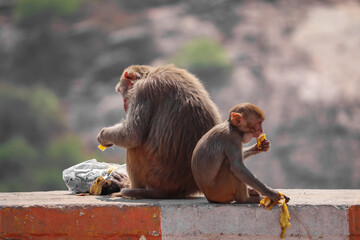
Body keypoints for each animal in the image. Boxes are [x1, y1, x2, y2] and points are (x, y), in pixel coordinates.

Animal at [98, 64, 222, 199]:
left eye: (121, 92)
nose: (125, 105)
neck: (149, 74)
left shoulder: (142, 91)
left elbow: (131, 135)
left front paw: (103, 135)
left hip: (155, 175)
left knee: (135, 148)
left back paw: (129, 187)